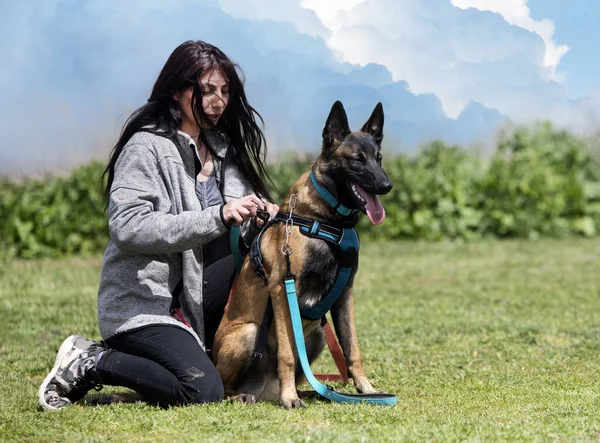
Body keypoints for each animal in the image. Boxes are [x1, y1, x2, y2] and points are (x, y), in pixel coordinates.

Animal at [211, 100, 394, 410]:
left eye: (378, 158)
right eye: (357, 160)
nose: (386, 186)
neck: (328, 221)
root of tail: (263, 389)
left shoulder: (345, 295)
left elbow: (352, 350)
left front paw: (366, 389)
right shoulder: (283, 290)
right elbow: (286, 354)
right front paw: (289, 398)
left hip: (318, 334)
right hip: (249, 332)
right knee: (223, 388)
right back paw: (253, 395)